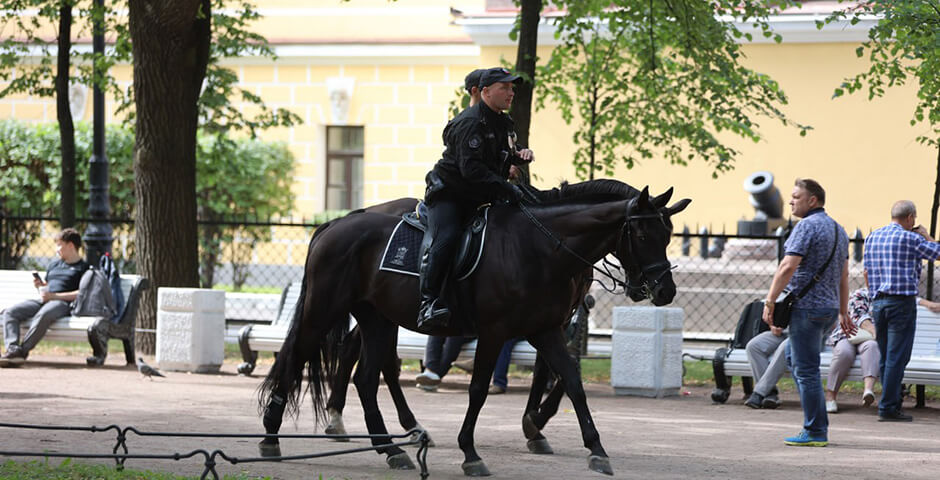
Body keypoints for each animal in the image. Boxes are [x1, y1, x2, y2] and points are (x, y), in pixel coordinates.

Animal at [258, 180, 692, 476]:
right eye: (641, 233)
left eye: (668, 234)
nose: (664, 289)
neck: (540, 247)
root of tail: (338, 223)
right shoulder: (497, 331)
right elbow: (480, 389)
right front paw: (470, 451)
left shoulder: (547, 330)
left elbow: (572, 380)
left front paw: (593, 448)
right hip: (324, 310)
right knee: (296, 358)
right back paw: (271, 436)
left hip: (377, 319)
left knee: (367, 376)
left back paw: (391, 448)